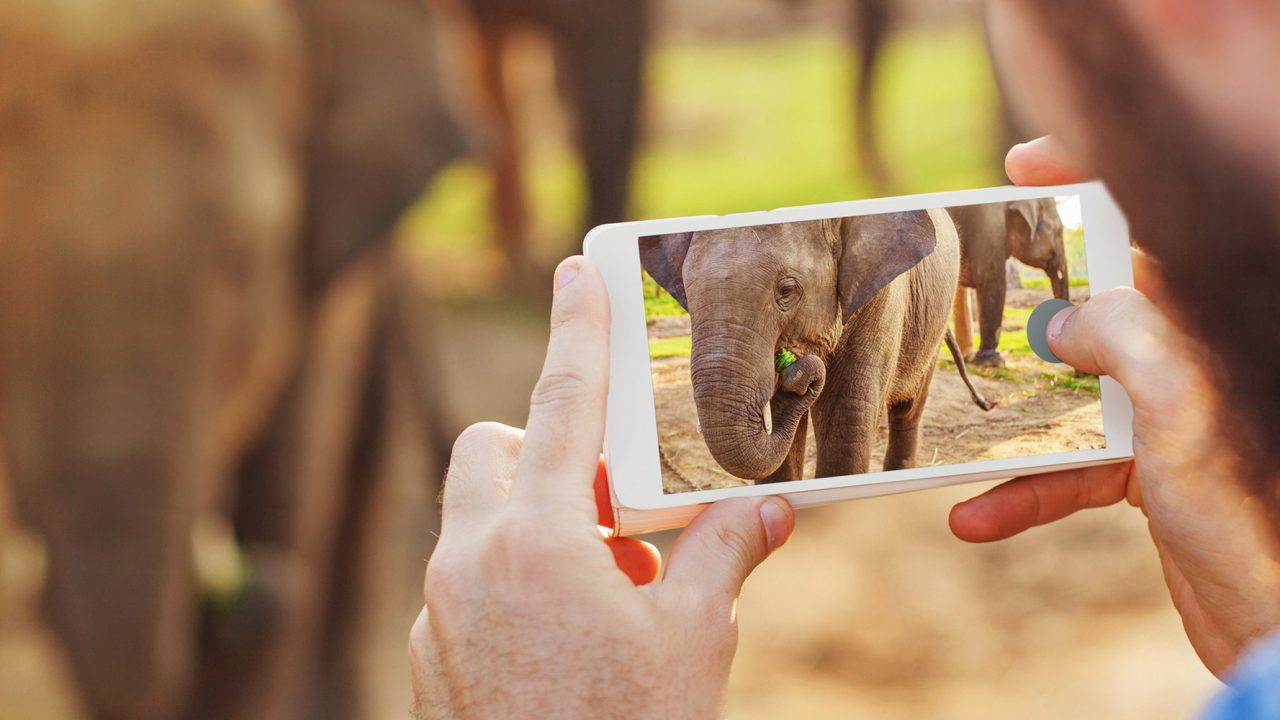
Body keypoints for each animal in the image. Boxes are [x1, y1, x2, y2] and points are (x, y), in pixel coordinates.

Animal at [641, 210, 991, 483]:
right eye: (687, 293)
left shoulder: (884, 295)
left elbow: (845, 418)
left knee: (908, 409)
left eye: (786, 290)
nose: (795, 370)